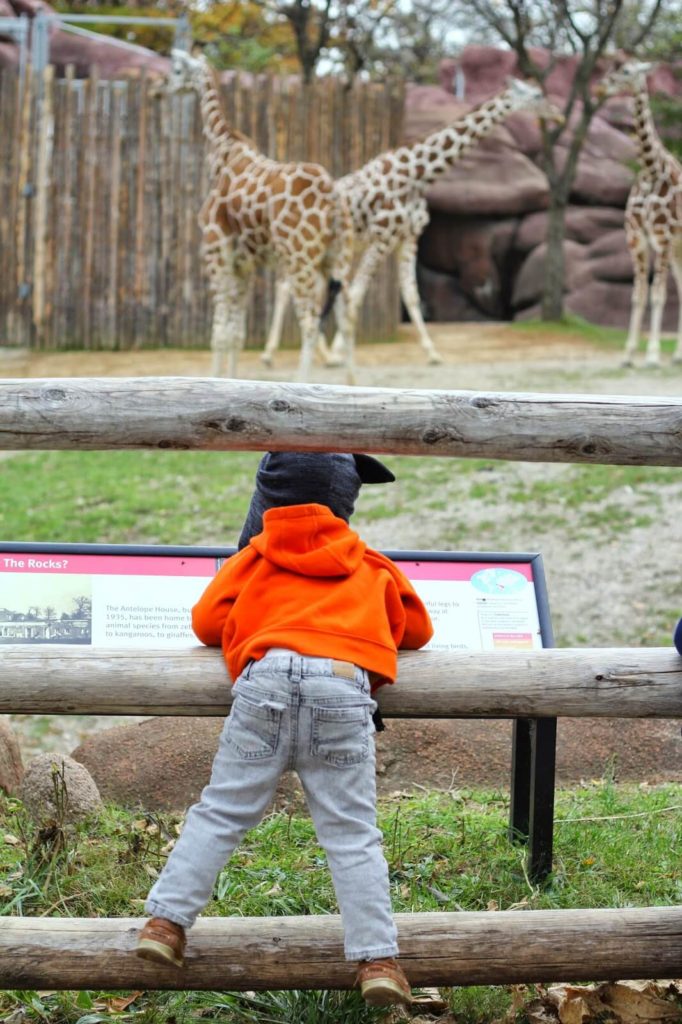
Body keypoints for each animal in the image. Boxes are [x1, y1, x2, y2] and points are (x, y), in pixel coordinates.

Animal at [168, 49, 352, 382]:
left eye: (176, 70)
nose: (161, 87)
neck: (222, 153)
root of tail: (332, 195)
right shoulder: (245, 265)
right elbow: (236, 334)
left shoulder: (216, 253)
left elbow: (219, 334)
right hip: (336, 258)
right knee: (347, 317)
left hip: (301, 258)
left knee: (309, 324)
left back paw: (302, 384)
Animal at [260, 76, 552, 372]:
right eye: (537, 96)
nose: (556, 115)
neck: (415, 176)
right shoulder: (383, 236)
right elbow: (358, 292)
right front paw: (341, 351)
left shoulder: (408, 238)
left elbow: (411, 295)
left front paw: (432, 353)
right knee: (289, 287)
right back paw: (287, 354)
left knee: (292, 288)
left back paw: (307, 354)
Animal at [598, 61, 675, 366]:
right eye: (614, 68)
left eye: (628, 72)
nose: (601, 87)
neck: (650, 170)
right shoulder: (637, 239)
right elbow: (638, 294)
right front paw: (629, 354)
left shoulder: (663, 238)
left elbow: (658, 294)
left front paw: (652, 355)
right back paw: (676, 355)